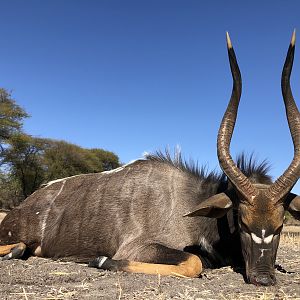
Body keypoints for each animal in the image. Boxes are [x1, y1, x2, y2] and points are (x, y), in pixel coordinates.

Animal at [0, 31, 300, 286]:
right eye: (242, 221)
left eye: (279, 225)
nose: (263, 278)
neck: (191, 201)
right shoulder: (137, 247)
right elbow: (193, 262)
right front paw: (101, 260)